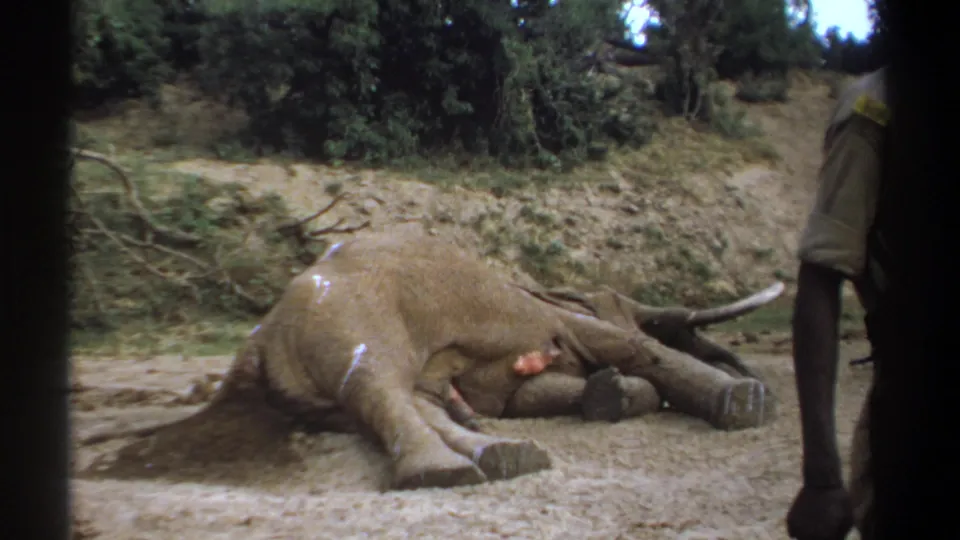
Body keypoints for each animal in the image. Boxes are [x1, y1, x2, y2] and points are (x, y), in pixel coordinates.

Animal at [89, 225, 783, 491]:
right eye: (615, 302)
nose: (746, 370)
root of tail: (256, 342)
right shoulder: (545, 315)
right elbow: (624, 345)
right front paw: (745, 404)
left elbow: (537, 392)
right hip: (354, 319)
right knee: (380, 386)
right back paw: (446, 472)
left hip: (310, 385)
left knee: (386, 403)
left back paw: (502, 456)